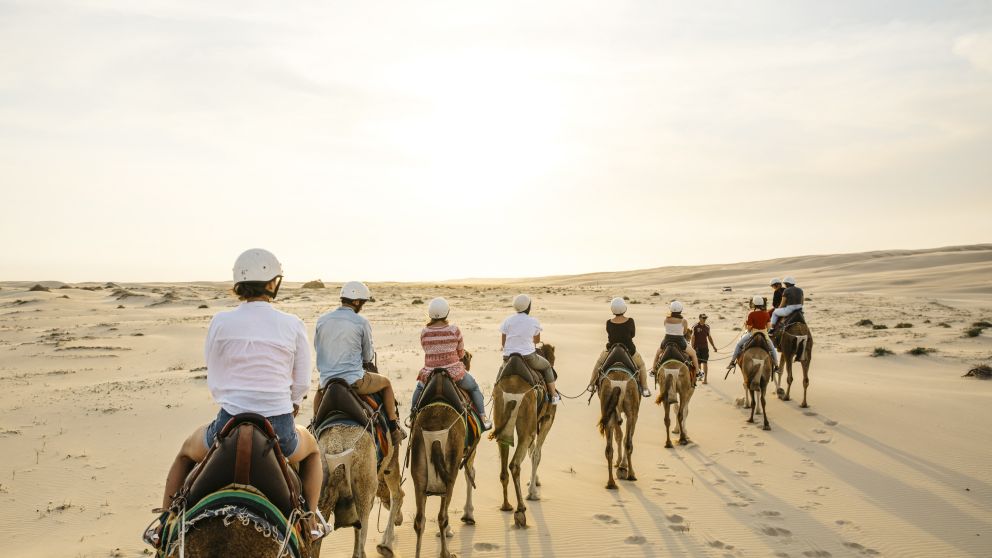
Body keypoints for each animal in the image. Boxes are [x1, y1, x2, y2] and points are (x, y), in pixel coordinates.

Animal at [404, 372, 478, 558]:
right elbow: (470, 474)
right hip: (450, 465)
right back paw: (446, 553)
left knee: (419, 520)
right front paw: (468, 516)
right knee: (442, 516)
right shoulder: (469, 452)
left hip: (419, 469)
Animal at [490, 346, 556, 528]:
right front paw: (532, 492)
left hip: (502, 416)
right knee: (515, 464)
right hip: (528, 423)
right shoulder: (547, 419)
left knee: (504, 461)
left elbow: (532, 451)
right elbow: (536, 454)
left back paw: (506, 506)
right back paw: (520, 511)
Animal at [596, 344, 644, 492]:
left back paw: (611, 483)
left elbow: (618, 435)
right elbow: (625, 437)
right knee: (628, 442)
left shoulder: (614, 412)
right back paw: (631, 475)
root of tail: (618, 384)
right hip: (631, 410)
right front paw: (623, 467)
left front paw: (620, 465)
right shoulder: (633, 414)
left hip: (608, 408)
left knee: (608, 448)